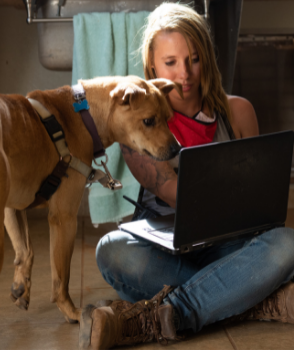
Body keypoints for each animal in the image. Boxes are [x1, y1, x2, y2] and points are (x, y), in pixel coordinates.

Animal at [0, 76, 181, 322]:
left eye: (168, 119)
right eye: (148, 121)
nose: (177, 149)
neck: (83, 116)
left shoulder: (13, 207)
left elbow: (25, 251)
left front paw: (21, 289)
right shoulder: (64, 218)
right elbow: (61, 277)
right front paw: (71, 312)